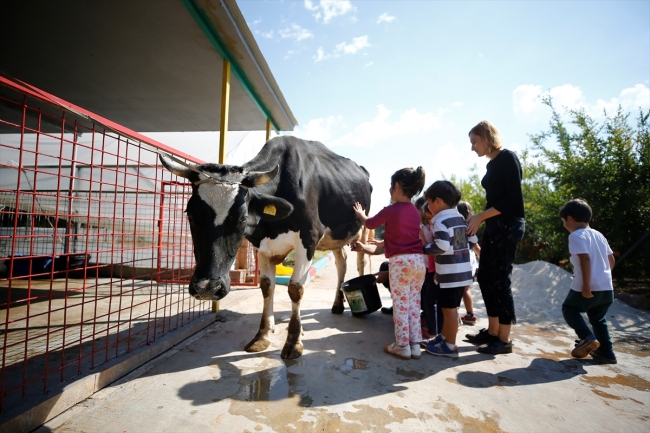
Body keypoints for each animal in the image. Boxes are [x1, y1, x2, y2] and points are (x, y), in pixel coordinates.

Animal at [158, 136, 370, 358]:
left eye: (242, 218)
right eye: (190, 215)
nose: (207, 288)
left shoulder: (309, 237)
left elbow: (296, 288)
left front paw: (293, 341)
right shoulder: (262, 245)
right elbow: (267, 287)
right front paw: (263, 335)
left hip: (363, 226)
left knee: (360, 260)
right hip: (337, 236)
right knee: (341, 262)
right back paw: (337, 304)